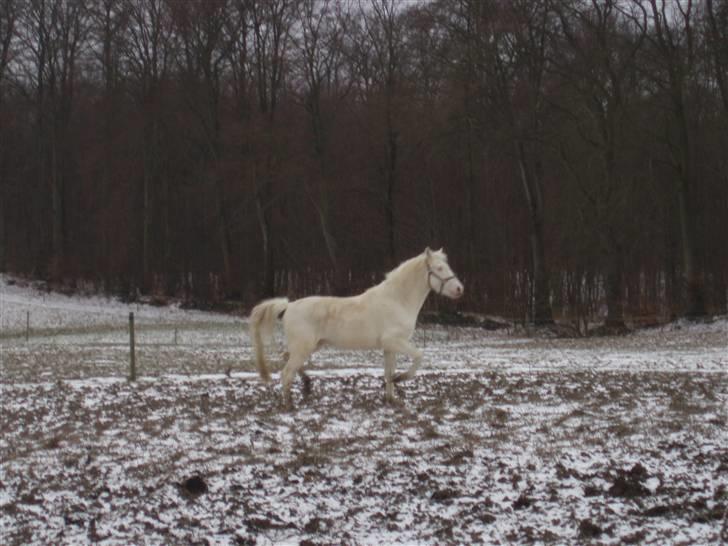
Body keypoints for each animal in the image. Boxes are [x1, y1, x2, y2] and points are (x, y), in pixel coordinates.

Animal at [250, 246, 464, 404]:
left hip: (310, 346)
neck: (397, 300)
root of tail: (289, 306)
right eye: (439, 268)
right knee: (286, 373)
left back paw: (307, 382)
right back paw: (289, 403)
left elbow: (388, 372)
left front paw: (391, 398)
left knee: (286, 359)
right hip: (304, 347)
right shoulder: (395, 341)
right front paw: (400, 379)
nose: (459, 289)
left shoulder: (389, 347)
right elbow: (418, 357)